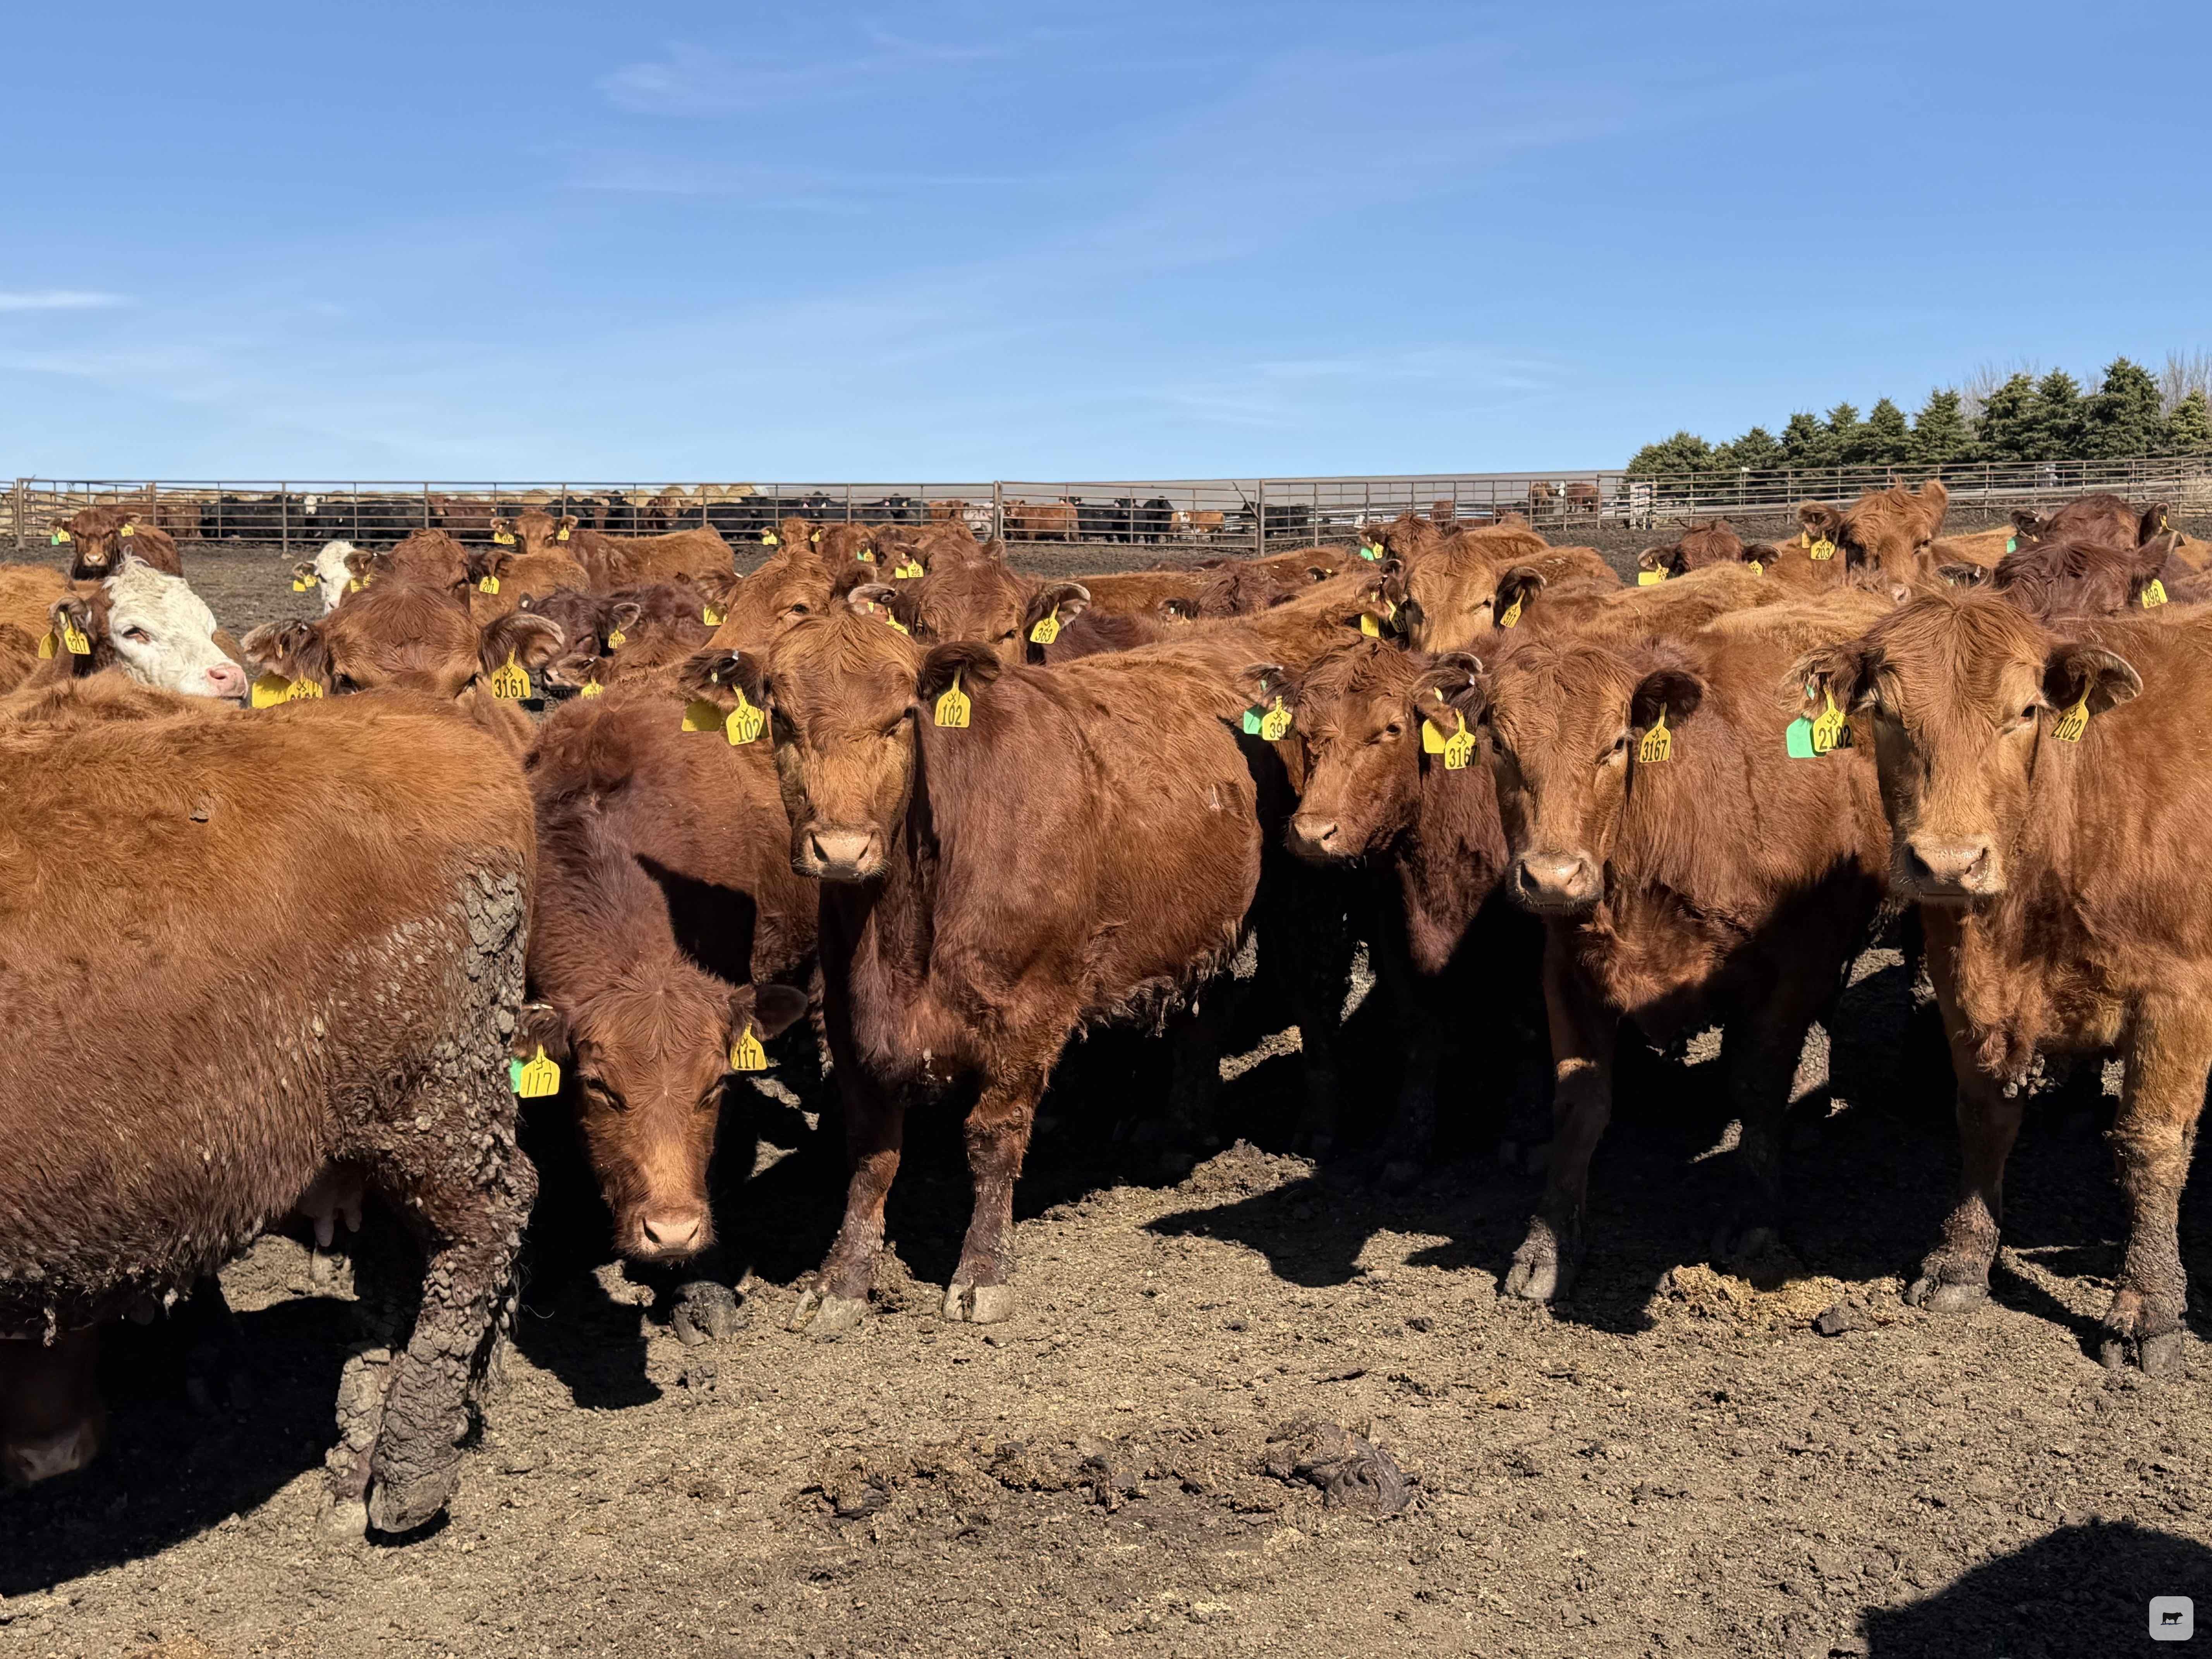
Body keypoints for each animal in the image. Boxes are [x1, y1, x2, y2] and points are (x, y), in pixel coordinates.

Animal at [678, 604, 1269, 1335]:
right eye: (782, 718)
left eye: (903, 715)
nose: (841, 849)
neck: (905, 930)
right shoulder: (848, 1016)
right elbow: (871, 1154)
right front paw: (841, 1278)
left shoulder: (1031, 1010)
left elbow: (992, 1138)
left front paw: (982, 1272)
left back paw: (1181, 1131)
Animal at [1468, 592, 1894, 1299]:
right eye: (1499, 745)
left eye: (1615, 744)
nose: (1552, 877)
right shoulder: (1568, 965)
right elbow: (1579, 1101)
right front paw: (1547, 1244)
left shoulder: (1794, 963)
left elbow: (1756, 1086)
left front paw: (1755, 1221)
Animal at [1795, 593, 2212, 1372]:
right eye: (1884, 712)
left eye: (2024, 711)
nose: (1948, 862)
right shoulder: (1961, 978)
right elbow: (1983, 1117)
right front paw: (1962, 1258)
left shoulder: (2178, 998)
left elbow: (2150, 1148)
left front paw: (2147, 1307)